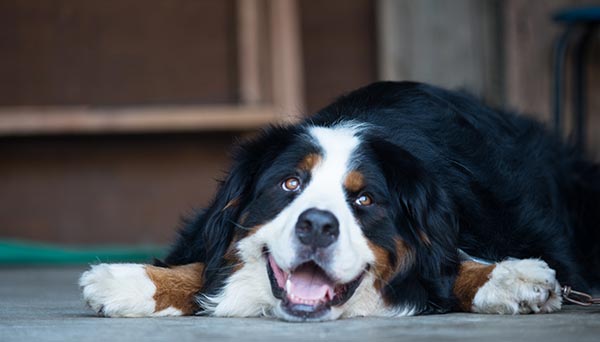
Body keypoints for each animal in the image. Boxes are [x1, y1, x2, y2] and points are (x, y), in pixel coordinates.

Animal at [81, 81, 600, 322]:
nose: (316, 225)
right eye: (290, 184)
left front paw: (510, 278)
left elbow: (448, 269)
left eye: (365, 198)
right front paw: (128, 282)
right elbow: (200, 266)